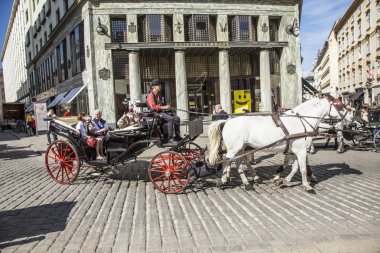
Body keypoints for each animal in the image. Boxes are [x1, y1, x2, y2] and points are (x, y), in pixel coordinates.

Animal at [208, 97, 348, 192]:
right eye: (338, 106)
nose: (344, 120)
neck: (301, 122)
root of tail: (227, 121)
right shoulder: (301, 150)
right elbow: (302, 168)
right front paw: (307, 185)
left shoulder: (295, 150)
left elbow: (294, 167)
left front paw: (284, 179)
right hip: (235, 148)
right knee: (227, 161)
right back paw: (226, 180)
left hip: (241, 148)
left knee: (237, 162)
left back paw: (244, 182)